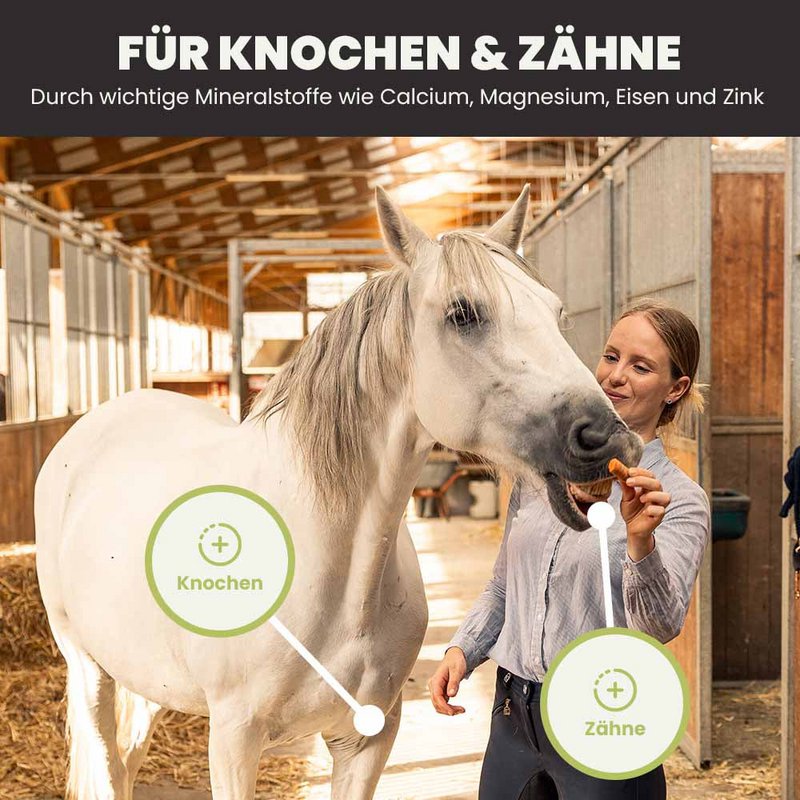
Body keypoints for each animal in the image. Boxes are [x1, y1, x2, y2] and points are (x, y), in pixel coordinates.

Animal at [34, 185, 642, 800]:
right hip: (89, 672)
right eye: (463, 313)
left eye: (555, 312)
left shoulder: (369, 737)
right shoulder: (233, 740)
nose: (607, 435)